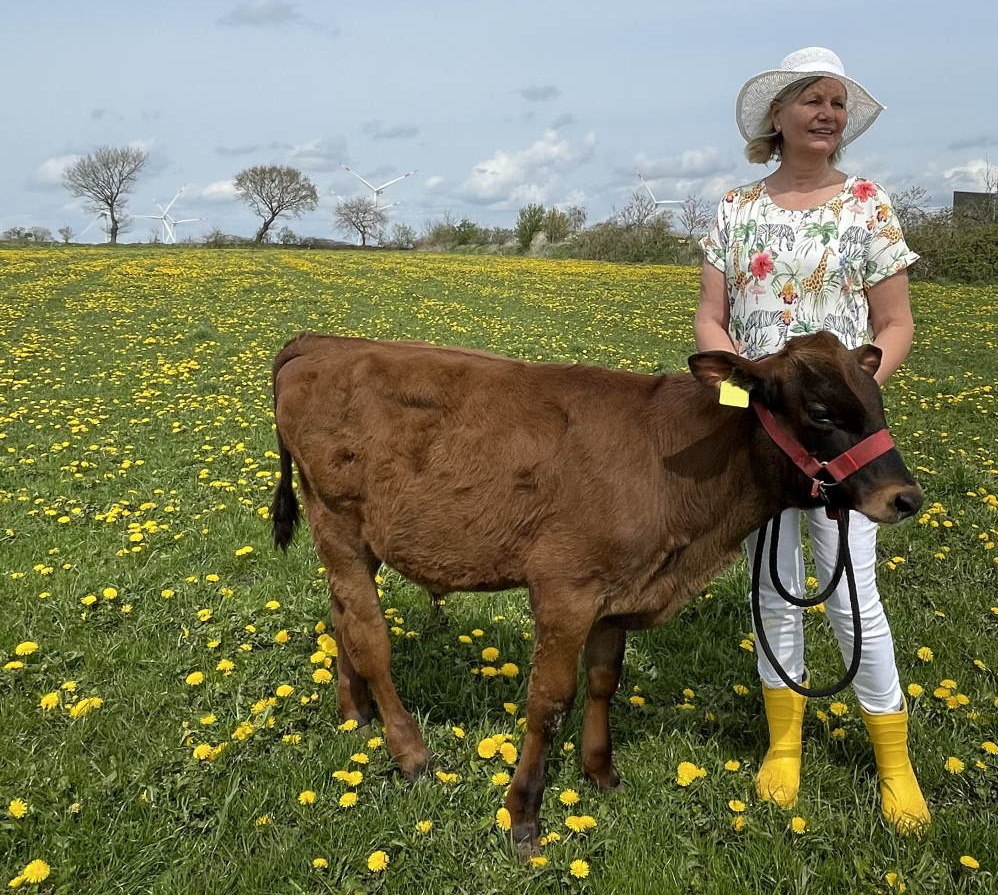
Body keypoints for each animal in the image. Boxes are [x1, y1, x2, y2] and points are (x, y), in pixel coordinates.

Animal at [272, 328, 920, 856]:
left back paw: (354, 714)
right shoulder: (565, 590)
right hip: (338, 522)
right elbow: (549, 700)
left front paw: (600, 771)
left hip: (357, 540)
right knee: (370, 636)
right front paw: (523, 815)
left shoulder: (619, 591)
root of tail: (321, 342)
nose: (905, 497)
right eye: (820, 411)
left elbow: (605, 680)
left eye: (877, 404)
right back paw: (409, 751)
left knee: (342, 617)